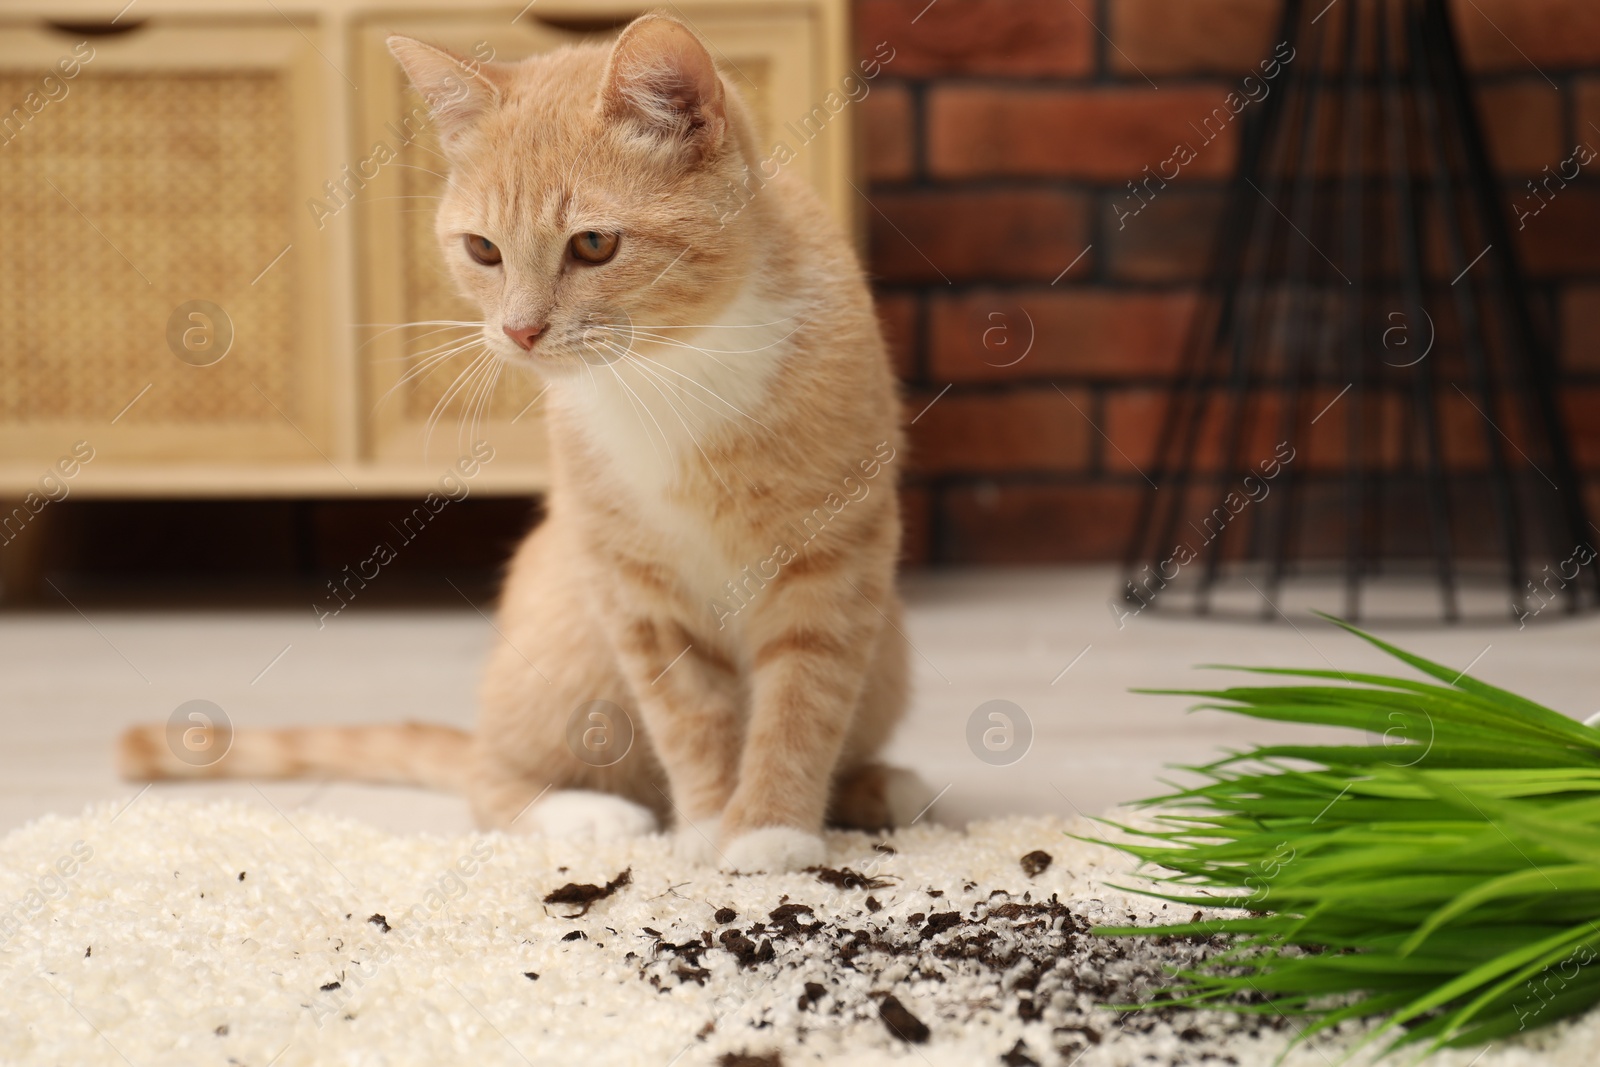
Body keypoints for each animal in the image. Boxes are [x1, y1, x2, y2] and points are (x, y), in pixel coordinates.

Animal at [121, 14, 928, 876]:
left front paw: (770, 827)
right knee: (489, 774)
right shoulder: (629, 578)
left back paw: (880, 786)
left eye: (595, 244)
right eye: (482, 250)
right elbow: (687, 710)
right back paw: (585, 809)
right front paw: (710, 822)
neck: (673, 369)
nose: (519, 329)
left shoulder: (837, 553)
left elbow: (805, 696)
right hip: (563, 635)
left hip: (889, 650)